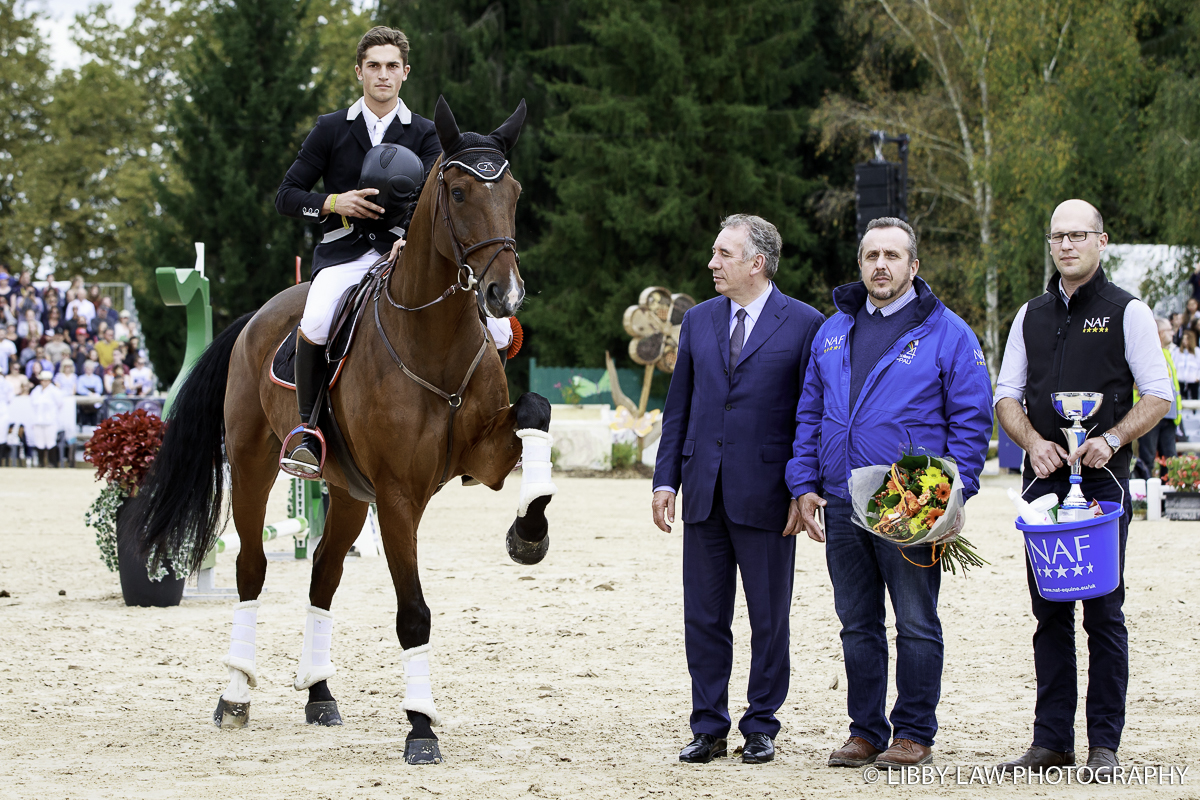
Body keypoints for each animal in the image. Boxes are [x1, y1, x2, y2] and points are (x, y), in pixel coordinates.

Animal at [129, 98, 559, 762]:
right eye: (459, 192)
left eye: (512, 192)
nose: (503, 294)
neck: (433, 339)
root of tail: (256, 317)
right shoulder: (399, 497)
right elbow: (413, 613)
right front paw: (421, 728)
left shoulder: (481, 457)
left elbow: (536, 412)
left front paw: (529, 532)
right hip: (255, 469)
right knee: (251, 569)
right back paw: (235, 694)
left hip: (350, 494)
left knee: (322, 577)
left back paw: (319, 694)